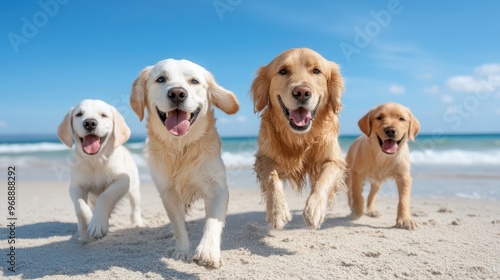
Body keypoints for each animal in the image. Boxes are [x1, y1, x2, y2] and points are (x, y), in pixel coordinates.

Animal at [57, 99, 143, 243]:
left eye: (103, 115)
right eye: (79, 114)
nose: (90, 123)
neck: (95, 160)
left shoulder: (122, 180)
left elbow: (105, 196)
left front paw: (97, 224)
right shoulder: (76, 185)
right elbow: (81, 206)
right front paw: (87, 225)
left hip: (134, 188)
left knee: (135, 206)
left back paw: (136, 222)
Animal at [129, 58, 238, 268]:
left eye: (194, 81)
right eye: (161, 79)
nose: (177, 93)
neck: (181, 148)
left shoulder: (217, 187)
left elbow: (213, 221)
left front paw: (208, 251)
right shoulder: (168, 192)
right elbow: (178, 225)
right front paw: (182, 251)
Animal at [252, 47, 346, 230]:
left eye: (316, 71)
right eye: (283, 71)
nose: (302, 92)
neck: (300, 138)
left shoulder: (335, 159)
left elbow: (323, 179)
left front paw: (314, 208)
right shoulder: (264, 158)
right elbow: (272, 178)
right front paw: (277, 211)